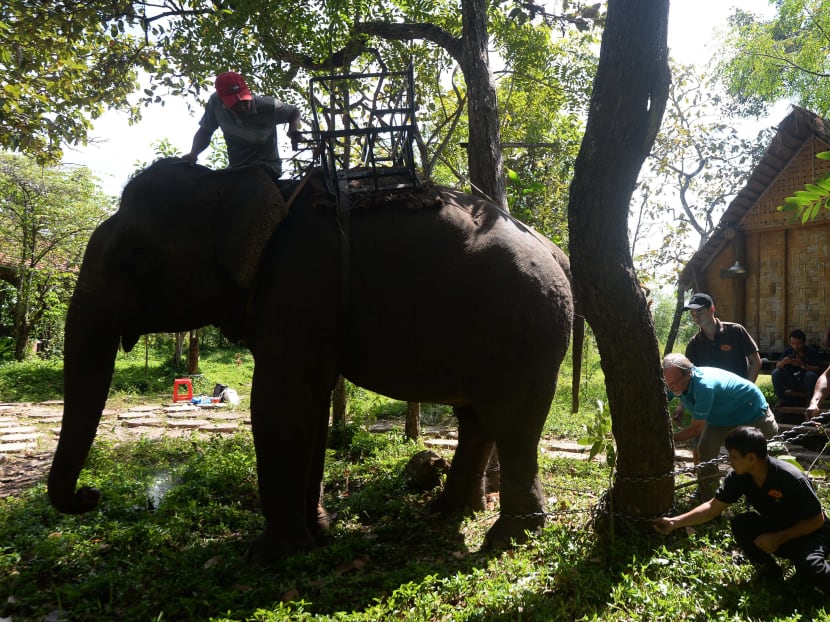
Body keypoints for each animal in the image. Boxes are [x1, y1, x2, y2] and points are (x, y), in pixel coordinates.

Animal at [48, 158, 580, 561]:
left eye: (136, 252)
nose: (90, 495)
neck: (234, 184)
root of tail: (556, 250)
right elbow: (311, 409)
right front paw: (318, 534)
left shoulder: (297, 289)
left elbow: (279, 407)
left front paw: (270, 555)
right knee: (476, 418)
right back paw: (447, 514)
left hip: (526, 327)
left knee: (512, 423)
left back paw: (506, 539)